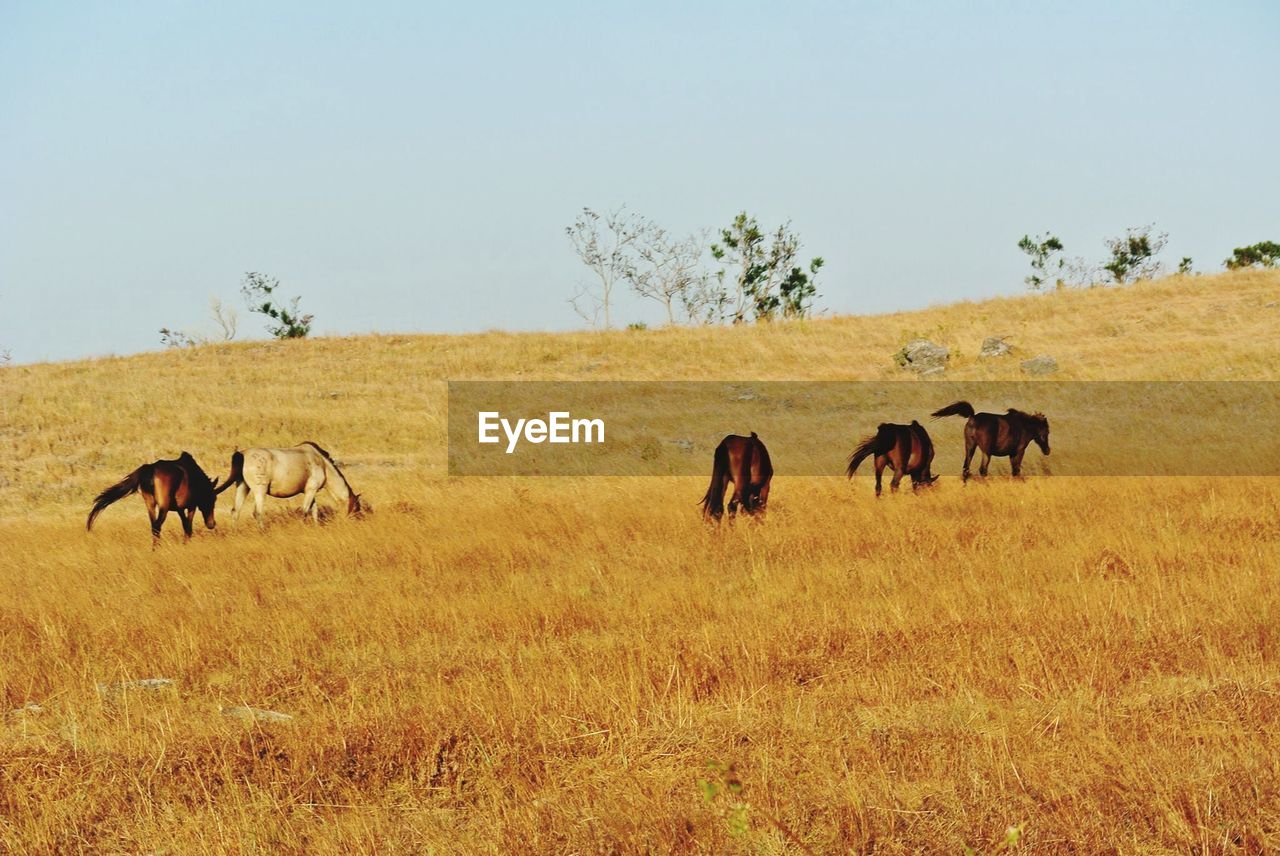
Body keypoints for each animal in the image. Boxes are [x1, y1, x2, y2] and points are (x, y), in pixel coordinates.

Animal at [87, 450, 222, 537]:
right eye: (213, 499)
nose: (212, 524)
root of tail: (150, 469)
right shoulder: (191, 506)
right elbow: (188, 528)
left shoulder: (180, 508)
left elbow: (185, 526)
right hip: (163, 506)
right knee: (157, 526)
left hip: (150, 503)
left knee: (153, 526)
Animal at [217, 445, 363, 524]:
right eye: (356, 508)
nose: (352, 523)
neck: (323, 464)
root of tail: (242, 454)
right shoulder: (311, 490)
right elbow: (305, 511)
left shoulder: (310, 491)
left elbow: (314, 511)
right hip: (260, 490)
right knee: (257, 512)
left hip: (243, 486)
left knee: (235, 511)